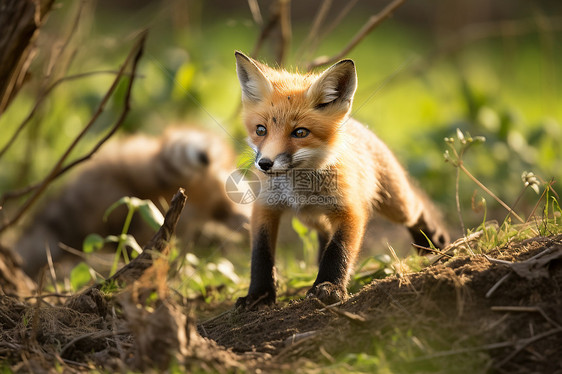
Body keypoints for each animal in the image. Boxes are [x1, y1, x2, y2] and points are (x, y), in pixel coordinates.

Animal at [234, 51, 448, 310]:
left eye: (300, 132)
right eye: (261, 130)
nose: (265, 164)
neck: (299, 187)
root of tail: (358, 126)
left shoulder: (350, 210)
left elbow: (339, 251)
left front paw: (329, 288)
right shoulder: (265, 208)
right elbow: (261, 256)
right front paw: (258, 296)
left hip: (396, 205)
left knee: (417, 206)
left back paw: (433, 240)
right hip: (312, 219)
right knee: (324, 235)